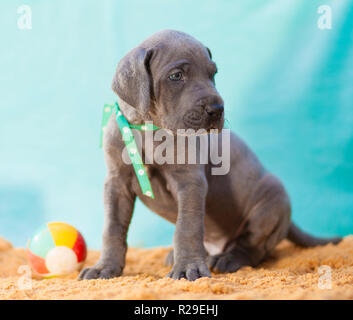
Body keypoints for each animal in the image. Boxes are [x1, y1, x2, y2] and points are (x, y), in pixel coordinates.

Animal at [78, 29, 340, 280]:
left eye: (212, 74)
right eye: (176, 76)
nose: (217, 109)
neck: (149, 128)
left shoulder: (190, 182)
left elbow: (187, 228)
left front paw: (187, 268)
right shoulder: (116, 184)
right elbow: (112, 228)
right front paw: (105, 267)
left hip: (271, 198)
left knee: (254, 247)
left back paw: (228, 259)